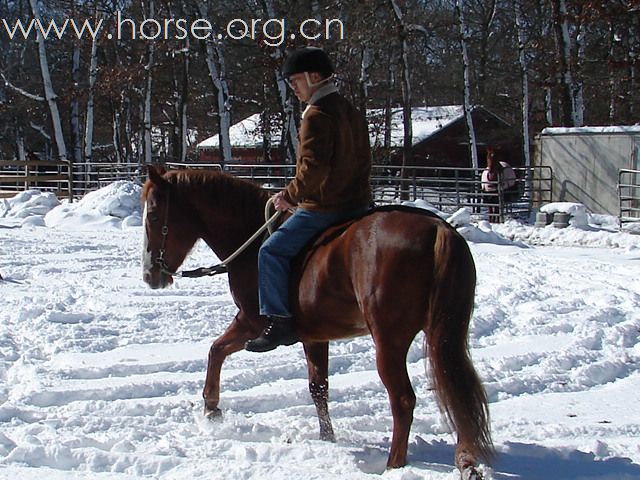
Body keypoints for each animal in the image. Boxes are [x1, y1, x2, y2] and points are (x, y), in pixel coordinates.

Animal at [141, 165, 496, 476]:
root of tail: (438, 230)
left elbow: (216, 350)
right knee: (456, 389)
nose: (149, 275)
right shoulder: (314, 336)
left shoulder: (251, 324)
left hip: (389, 342)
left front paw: (211, 408)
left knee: (404, 400)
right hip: (444, 336)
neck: (252, 240)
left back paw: (394, 465)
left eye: (155, 216)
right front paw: (328, 439)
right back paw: (466, 460)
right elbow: (318, 389)